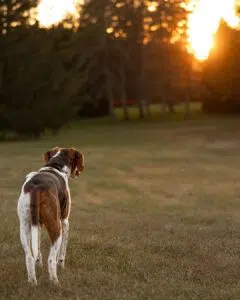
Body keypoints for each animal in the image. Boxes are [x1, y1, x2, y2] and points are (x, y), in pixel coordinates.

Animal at [16, 146, 84, 284]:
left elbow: (37, 251)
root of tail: (36, 187)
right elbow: (61, 253)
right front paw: (61, 265)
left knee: (29, 257)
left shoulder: (37, 225)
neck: (55, 165)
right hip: (56, 227)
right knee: (51, 259)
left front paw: (39, 265)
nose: (78, 172)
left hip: (24, 227)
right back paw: (55, 283)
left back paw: (32, 283)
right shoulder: (65, 221)